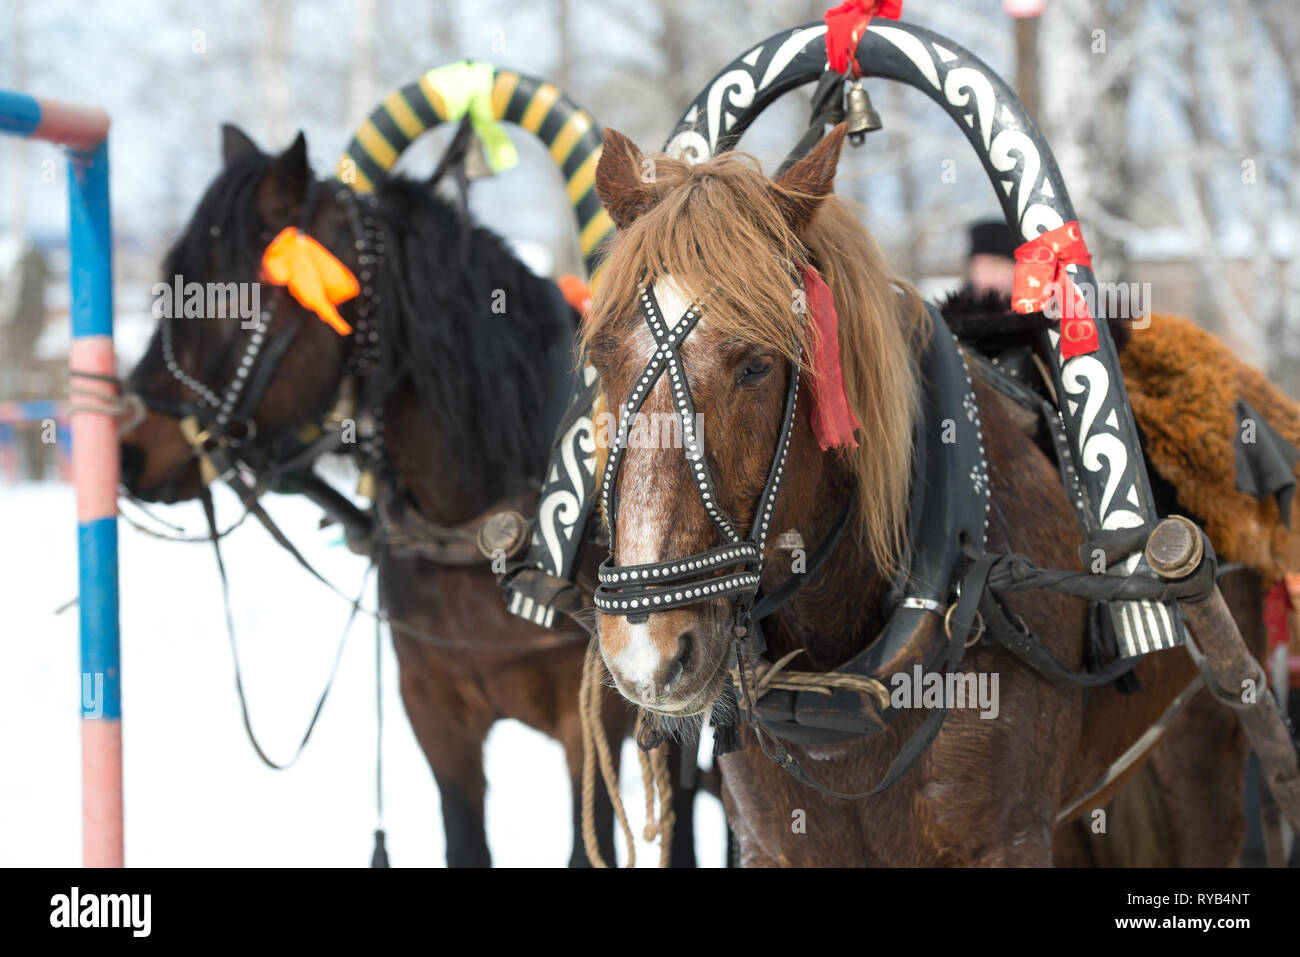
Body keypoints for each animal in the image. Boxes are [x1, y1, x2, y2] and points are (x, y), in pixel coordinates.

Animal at [119, 125, 702, 868]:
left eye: (229, 297)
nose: (131, 449)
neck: (490, 523)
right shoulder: (434, 711)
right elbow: (464, 842)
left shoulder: (596, 717)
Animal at [579, 121, 1258, 868]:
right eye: (602, 357)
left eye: (755, 364)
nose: (648, 652)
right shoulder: (775, 843)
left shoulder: (1007, 839)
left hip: (1204, 757)